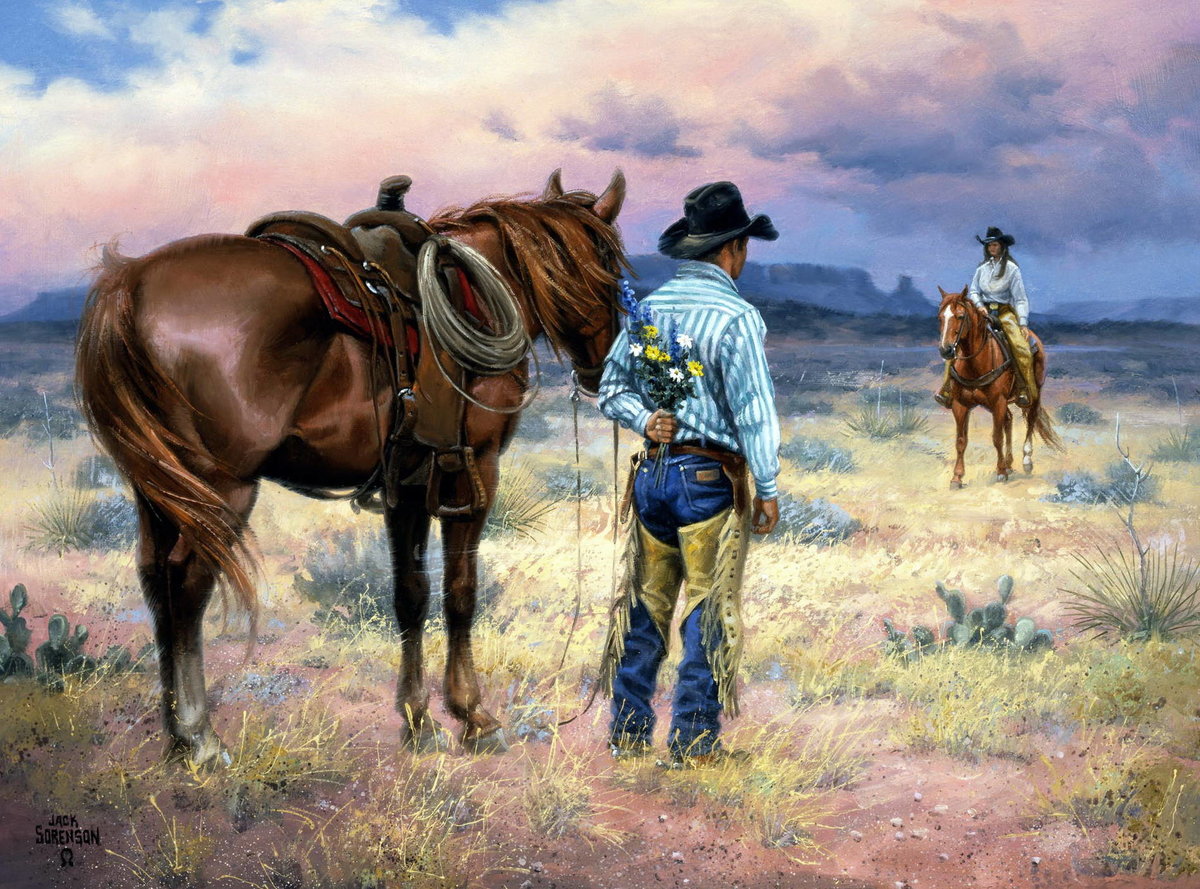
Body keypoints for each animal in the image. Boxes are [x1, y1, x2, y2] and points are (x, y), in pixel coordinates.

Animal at [75, 170, 627, 766]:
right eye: (611, 268)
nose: (604, 369)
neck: (482, 292)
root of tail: (131, 285)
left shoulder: (409, 481)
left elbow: (410, 594)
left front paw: (418, 720)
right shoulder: (474, 470)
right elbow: (461, 591)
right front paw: (474, 716)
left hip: (159, 487)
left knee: (154, 577)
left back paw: (175, 734)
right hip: (222, 490)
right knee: (188, 583)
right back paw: (200, 736)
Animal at [935, 285, 1062, 488]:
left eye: (961, 316)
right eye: (940, 317)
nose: (946, 350)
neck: (975, 364)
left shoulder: (998, 402)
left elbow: (996, 437)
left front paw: (1001, 472)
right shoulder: (960, 405)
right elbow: (961, 441)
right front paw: (957, 477)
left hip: (1034, 394)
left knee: (1030, 420)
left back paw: (1026, 461)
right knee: (1009, 420)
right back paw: (1009, 463)